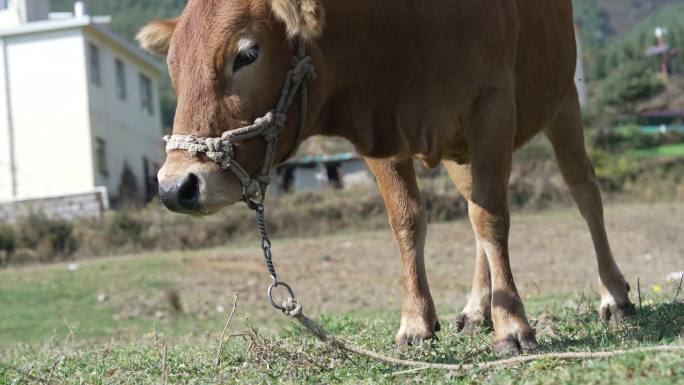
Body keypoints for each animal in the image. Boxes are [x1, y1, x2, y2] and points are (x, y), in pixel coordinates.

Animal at [139, 0, 636, 354]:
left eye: (246, 54)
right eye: (173, 67)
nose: (175, 186)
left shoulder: (493, 106)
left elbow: (493, 218)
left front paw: (512, 325)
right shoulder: (381, 133)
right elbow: (409, 222)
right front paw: (417, 322)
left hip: (562, 98)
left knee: (583, 193)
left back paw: (614, 295)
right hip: (462, 151)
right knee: (473, 206)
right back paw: (478, 308)